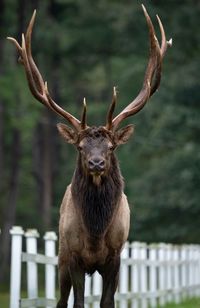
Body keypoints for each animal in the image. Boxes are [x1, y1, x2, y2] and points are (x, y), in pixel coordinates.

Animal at [7, 5, 171, 308]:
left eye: (111, 147)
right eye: (81, 147)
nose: (97, 163)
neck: (96, 231)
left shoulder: (115, 256)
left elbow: (107, 301)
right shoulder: (73, 256)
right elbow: (78, 302)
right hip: (60, 257)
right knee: (62, 300)